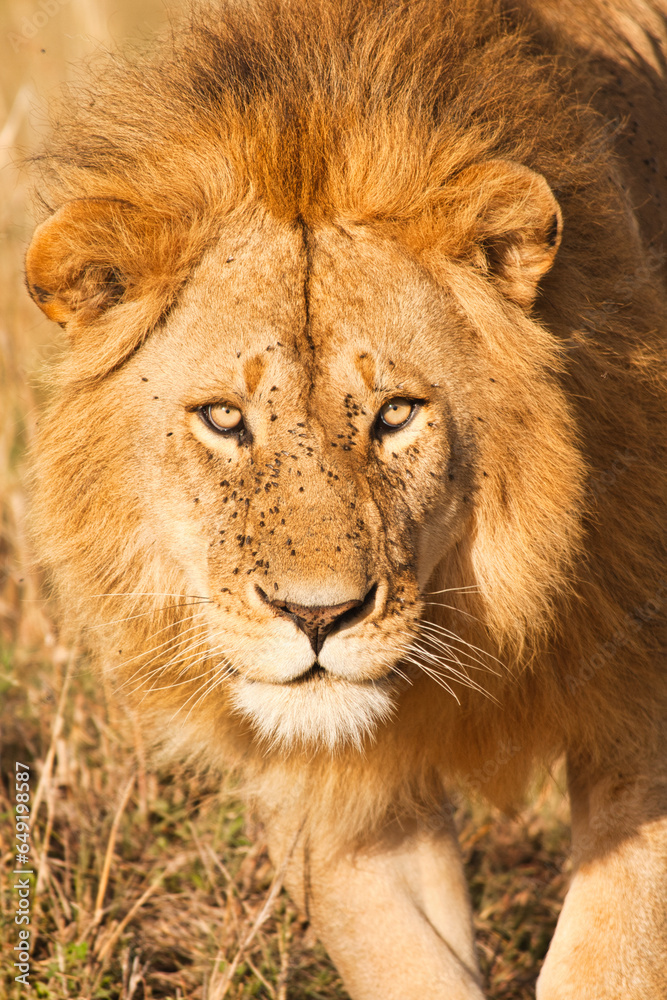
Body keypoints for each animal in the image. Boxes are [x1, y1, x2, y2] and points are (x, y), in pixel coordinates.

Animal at [23, 0, 667, 996]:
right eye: (224, 419)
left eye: (395, 414)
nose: (316, 618)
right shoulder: (335, 794)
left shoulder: (639, 705)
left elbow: (610, 957)